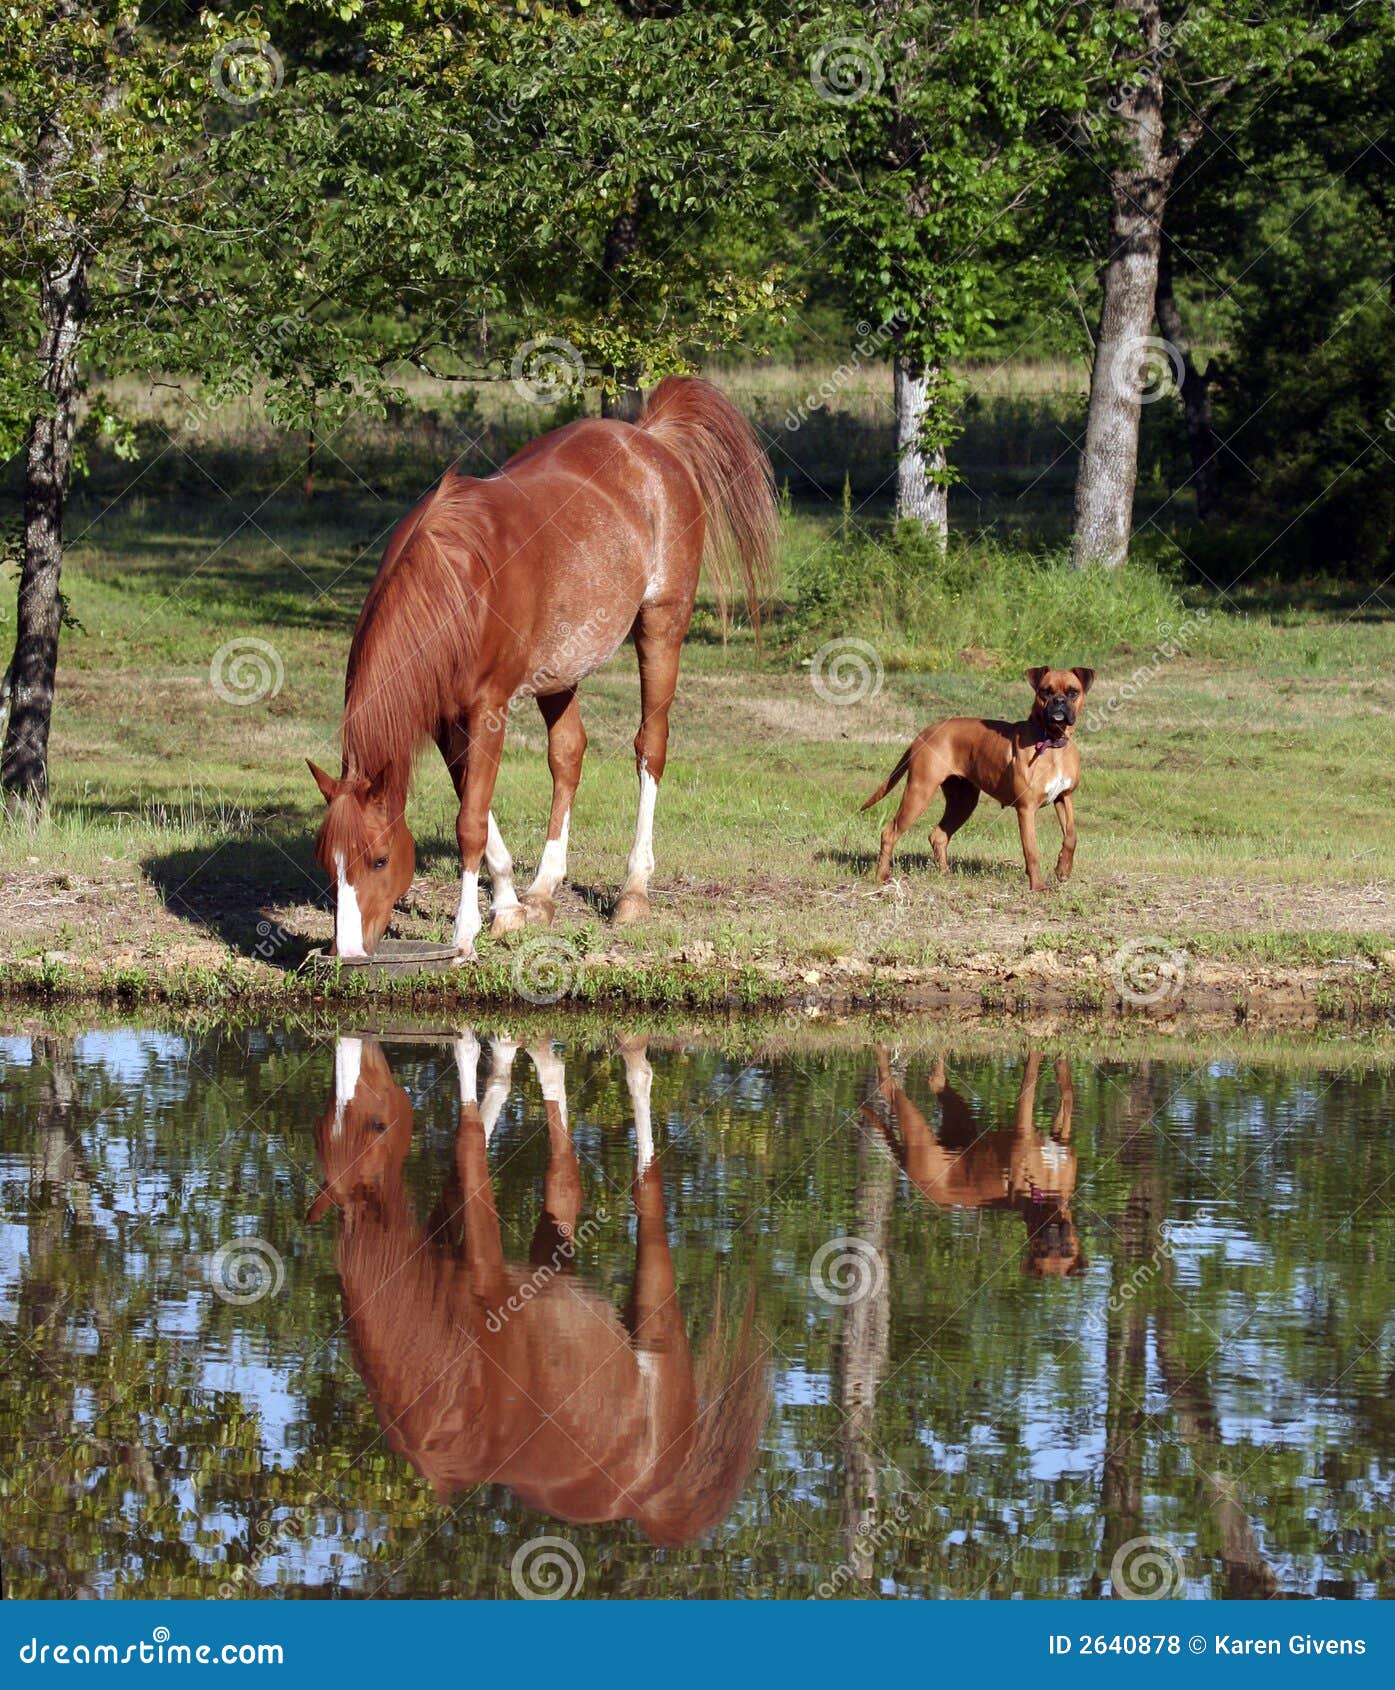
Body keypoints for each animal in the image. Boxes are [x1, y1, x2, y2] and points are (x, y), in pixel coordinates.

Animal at [302, 376, 774, 959]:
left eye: (380, 859)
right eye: (327, 863)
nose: (347, 952)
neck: (454, 584)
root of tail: (651, 440)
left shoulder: (488, 709)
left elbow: (470, 822)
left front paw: (465, 934)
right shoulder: (444, 719)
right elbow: (477, 805)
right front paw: (508, 907)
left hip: (662, 628)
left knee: (650, 747)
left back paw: (634, 891)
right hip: (560, 669)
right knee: (568, 754)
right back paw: (546, 889)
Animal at [307, 1027, 774, 1548]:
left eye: (377, 1125)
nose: (354, 1043)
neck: (446, 1376)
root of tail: (649, 1497)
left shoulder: (487, 1275)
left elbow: (468, 1136)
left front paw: (466, 1040)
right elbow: (471, 1149)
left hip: (658, 1319)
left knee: (644, 1149)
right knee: (561, 1157)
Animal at [865, 665, 1095, 892]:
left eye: (1073, 692)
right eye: (1045, 691)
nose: (1059, 701)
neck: (1052, 742)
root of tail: (924, 733)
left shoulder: (1064, 798)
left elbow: (1071, 836)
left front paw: (1063, 869)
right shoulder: (1026, 809)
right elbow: (1032, 851)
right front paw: (1038, 886)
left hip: (963, 802)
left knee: (938, 836)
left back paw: (945, 876)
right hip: (919, 793)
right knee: (889, 833)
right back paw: (882, 877)